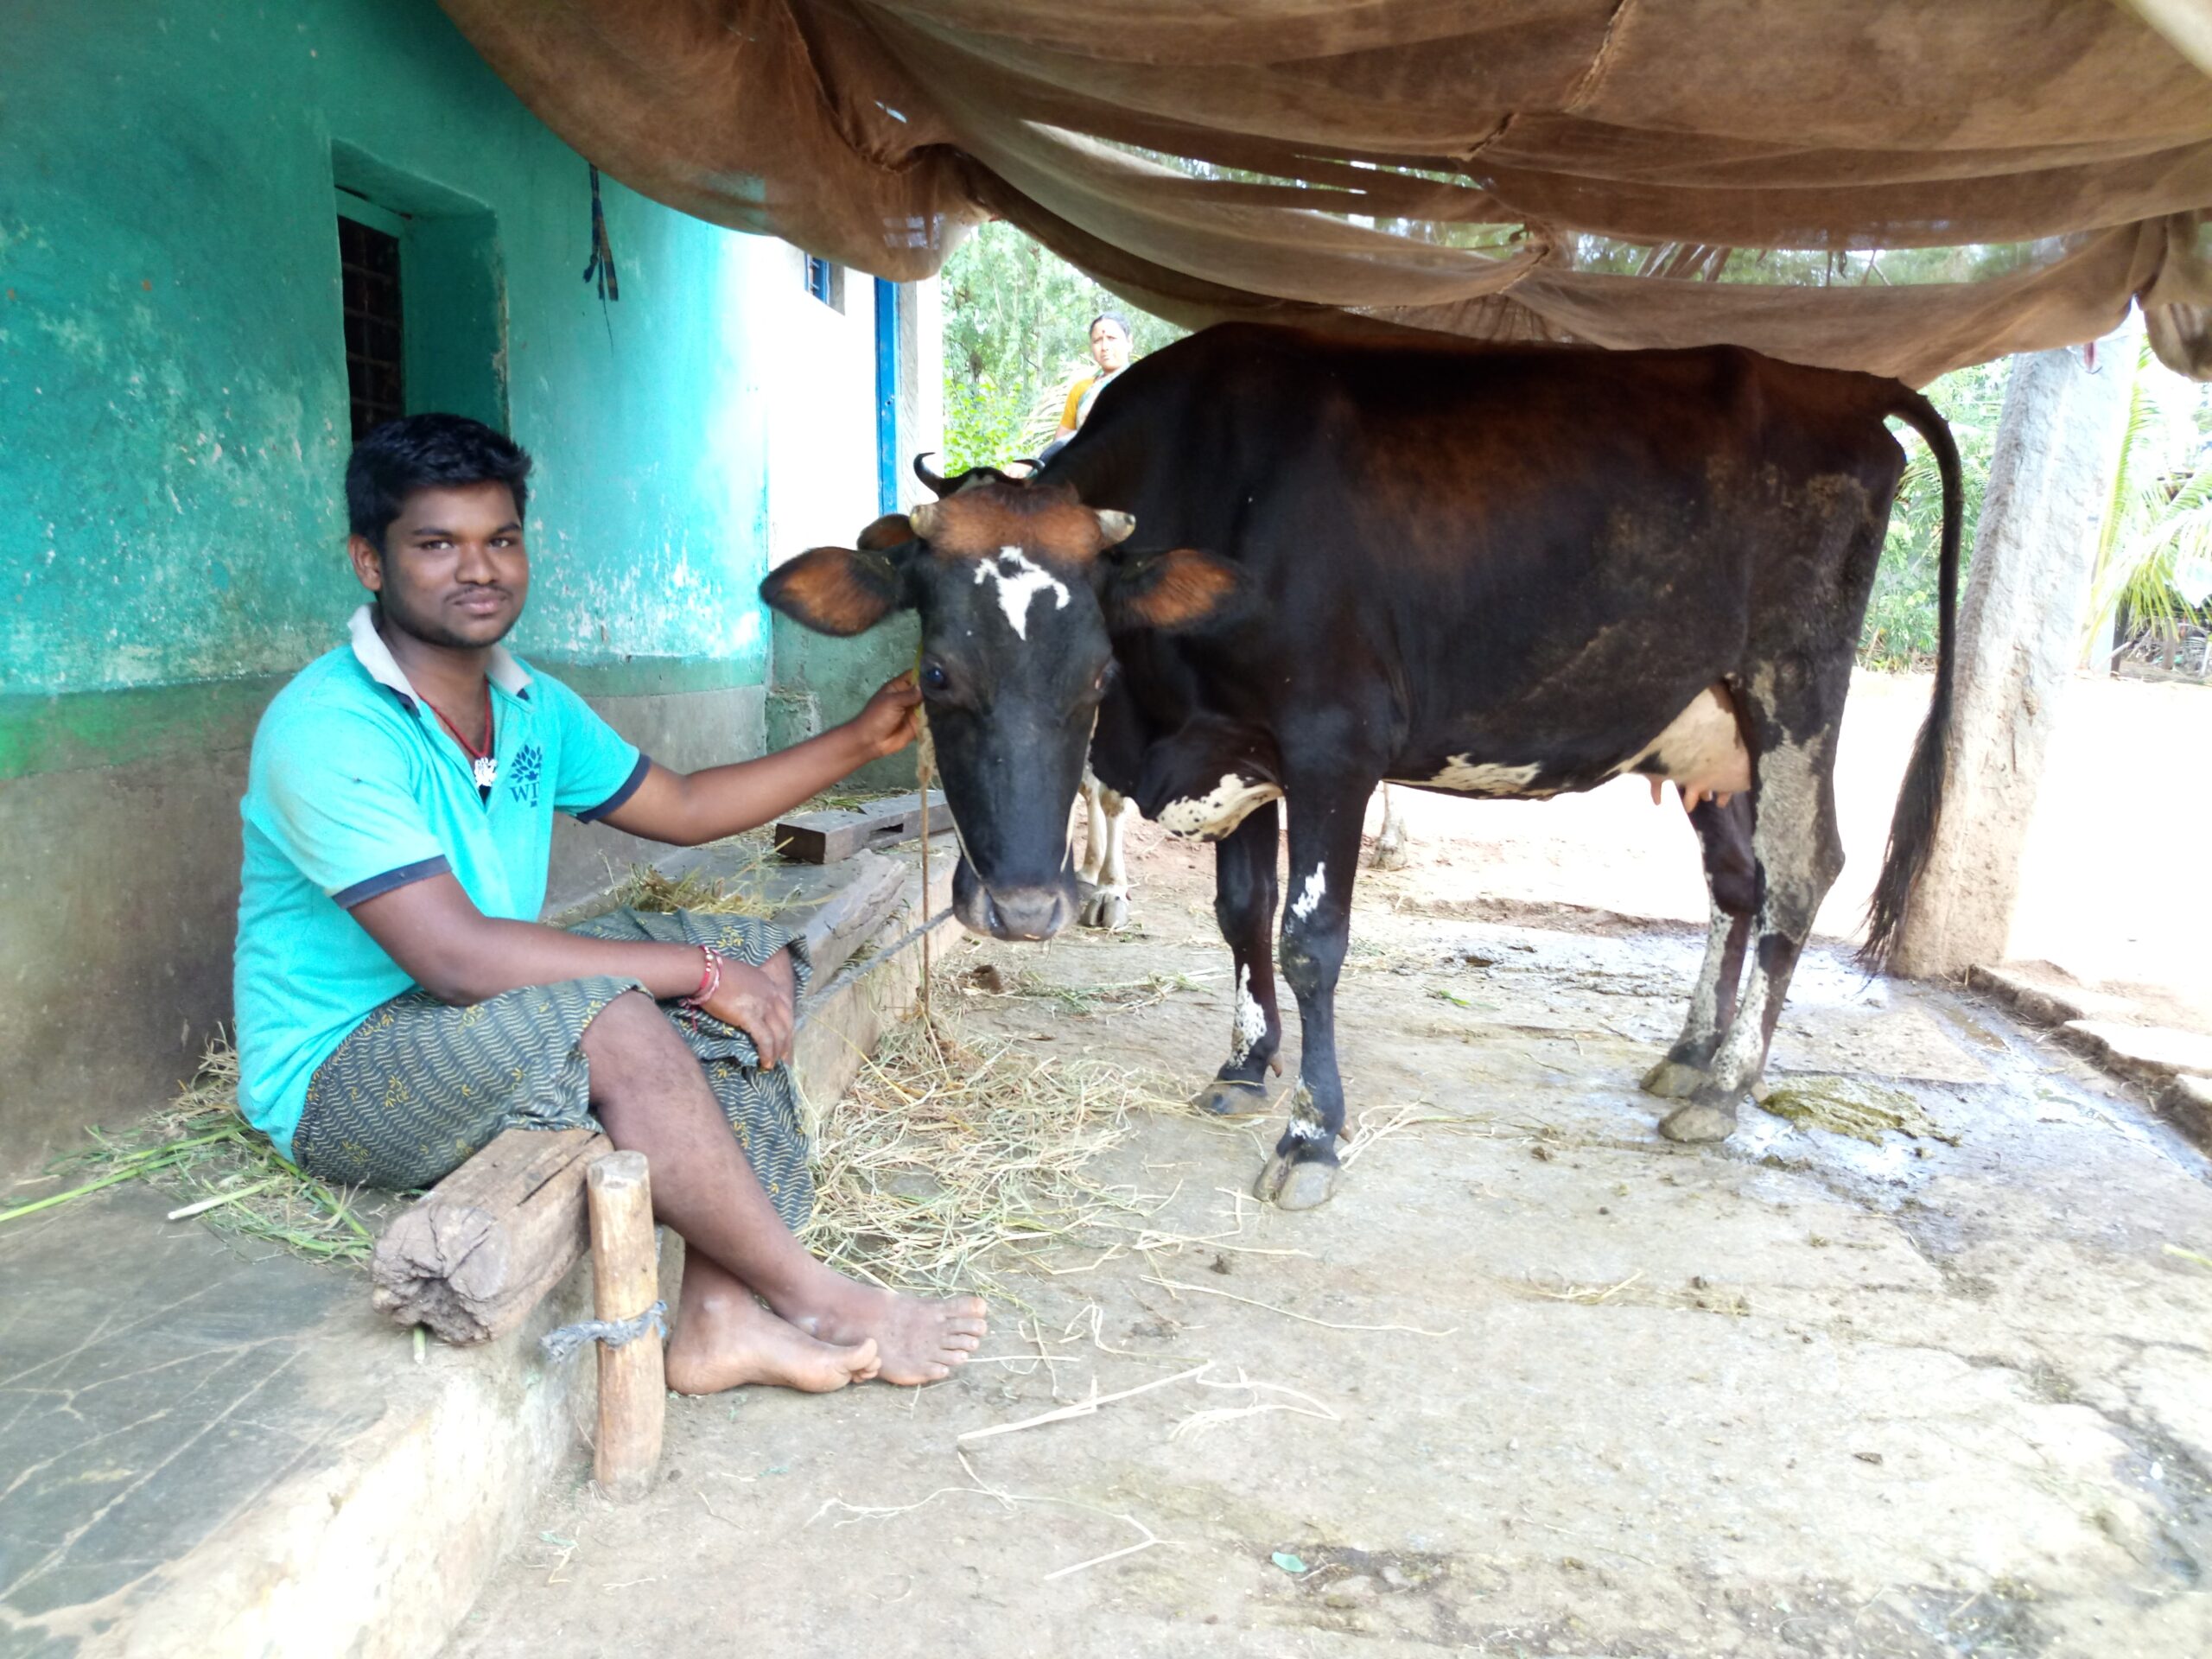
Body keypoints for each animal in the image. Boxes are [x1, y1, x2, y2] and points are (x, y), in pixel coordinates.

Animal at [763, 323, 1960, 1210]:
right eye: (937, 671)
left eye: (1096, 671)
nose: (1019, 908)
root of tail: (1841, 388)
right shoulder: (1237, 747)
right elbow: (1240, 918)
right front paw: (1245, 1070)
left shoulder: (1334, 745)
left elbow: (1309, 941)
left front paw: (1312, 1133)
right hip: (1705, 729)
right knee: (1735, 884)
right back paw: (1690, 1055)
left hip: (1794, 689)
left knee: (1803, 873)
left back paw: (1731, 1088)